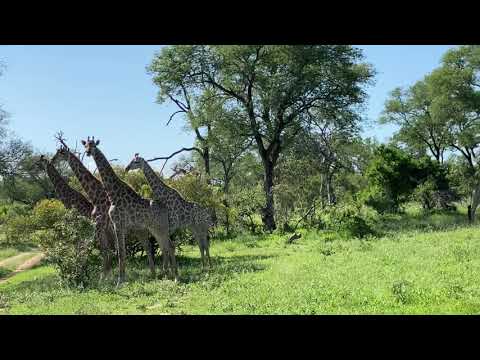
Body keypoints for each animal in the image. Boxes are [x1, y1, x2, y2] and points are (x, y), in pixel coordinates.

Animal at [52, 143, 158, 278]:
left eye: (60, 153)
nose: (52, 160)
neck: (95, 195)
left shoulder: (101, 226)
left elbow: (108, 251)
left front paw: (105, 276)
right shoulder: (106, 228)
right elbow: (111, 250)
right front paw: (110, 275)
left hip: (138, 229)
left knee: (147, 245)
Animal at [81, 136, 177, 286]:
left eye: (93, 146)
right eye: (85, 145)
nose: (88, 152)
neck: (113, 194)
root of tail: (166, 209)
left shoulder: (119, 225)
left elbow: (121, 252)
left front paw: (120, 281)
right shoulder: (115, 225)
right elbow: (119, 252)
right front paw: (121, 278)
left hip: (161, 228)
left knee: (170, 247)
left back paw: (175, 277)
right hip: (155, 229)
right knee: (165, 247)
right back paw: (167, 275)